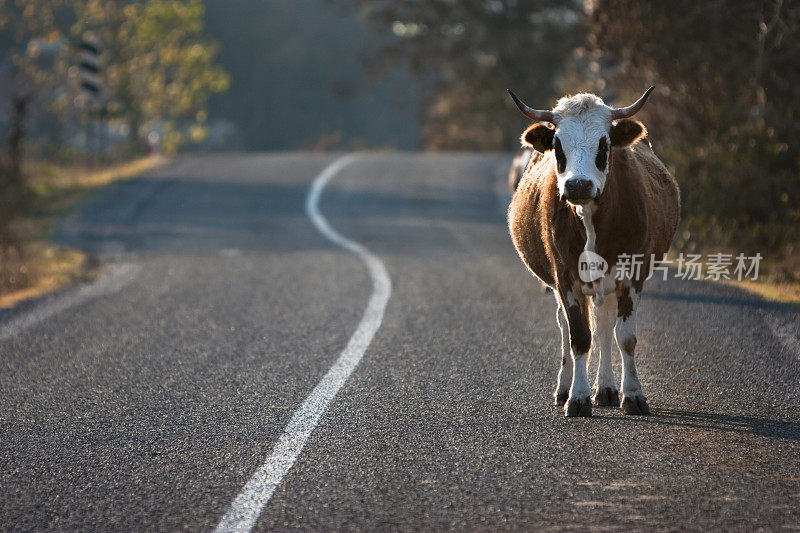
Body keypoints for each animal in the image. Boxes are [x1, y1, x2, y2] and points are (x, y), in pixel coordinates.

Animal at [506, 87, 680, 416]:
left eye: (604, 143)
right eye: (558, 145)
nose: (578, 185)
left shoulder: (631, 276)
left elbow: (624, 337)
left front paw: (633, 394)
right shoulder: (565, 278)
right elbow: (579, 338)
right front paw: (577, 397)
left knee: (604, 327)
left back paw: (607, 388)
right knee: (568, 328)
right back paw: (565, 388)